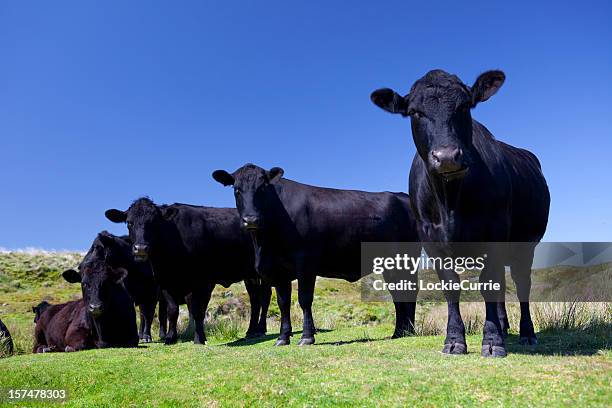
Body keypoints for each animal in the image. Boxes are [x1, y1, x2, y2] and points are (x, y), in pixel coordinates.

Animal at [104, 198, 272, 344]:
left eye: (154, 223)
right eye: (129, 223)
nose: (140, 248)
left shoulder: (203, 282)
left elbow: (197, 310)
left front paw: (199, 338)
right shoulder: (165, 282)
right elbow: (172, 311)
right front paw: (170, 338)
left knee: (264, 296)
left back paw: (260, 329)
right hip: (250, 274)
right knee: (255, 298)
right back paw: (251, 331)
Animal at [213, 164, 418, 346]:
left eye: (262, 188)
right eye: (237, 190)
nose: (251, 220)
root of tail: (402, 197)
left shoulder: (306, 263)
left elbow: (304, 299)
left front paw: (306, 337)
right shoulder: (278, 270)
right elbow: (283, 303)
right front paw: (282, 338)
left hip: (406, 259)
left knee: (408, 291)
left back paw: (407, 330)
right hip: (390, 264)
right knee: (399, 293)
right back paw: (400, 332)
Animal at [370, 70, 552, 356]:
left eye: (465, 106)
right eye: (415, 112)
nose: (446, 157)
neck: (450, 201)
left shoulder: (495, 231)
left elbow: (489, 282)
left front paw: (492, 342)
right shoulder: (430, 238)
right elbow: (451, 286)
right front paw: (455, 340)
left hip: (526, 245)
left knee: (522, 283)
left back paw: (526, 333)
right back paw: (504, 327)